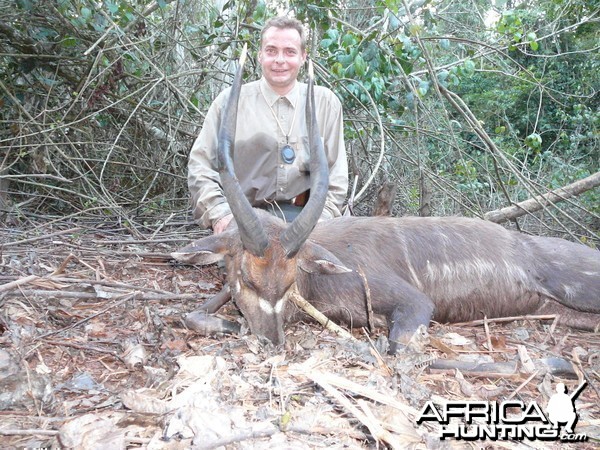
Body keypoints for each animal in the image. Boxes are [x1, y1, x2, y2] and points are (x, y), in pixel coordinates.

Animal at [171, 53, 596, 356]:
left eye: (290, 282)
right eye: (246, 280)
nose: (272, 343)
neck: (317, 283)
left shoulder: (412, 302)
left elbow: (397, 344)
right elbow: (192, 315)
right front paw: (232, 324)